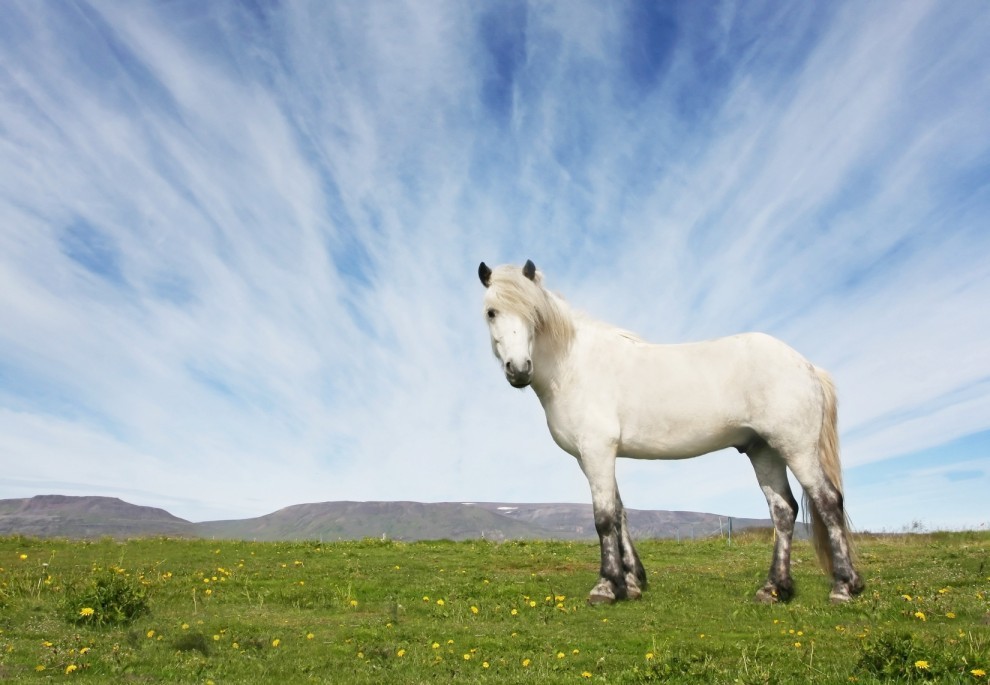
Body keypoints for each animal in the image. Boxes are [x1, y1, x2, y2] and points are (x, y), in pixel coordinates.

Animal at [478, 260, 860, 604]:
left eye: (533, 312)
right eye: (492, 313)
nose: (519, 370)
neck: (573, 365)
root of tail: (807, 366)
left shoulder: (597, 450)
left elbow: (603, 518)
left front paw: (606, 586)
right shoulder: (592, 457)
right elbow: (619, 513)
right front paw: (632, 583)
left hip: (796, 448)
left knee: (828, 502)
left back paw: (843, 587)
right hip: (763, 450)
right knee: (783, 510)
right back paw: (774, 589)